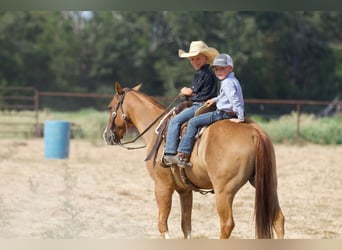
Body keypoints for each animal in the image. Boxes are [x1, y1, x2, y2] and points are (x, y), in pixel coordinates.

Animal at [103, 81, 284, 238]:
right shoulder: (185, 190)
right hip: (268, 184)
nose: (106, 135)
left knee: (227, 224)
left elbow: (162, 224)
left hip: (224, 191)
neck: (158, 131)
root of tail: (254, 132)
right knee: (278, 219)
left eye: (110, 107)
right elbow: (186, 226)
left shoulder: (162, 186)